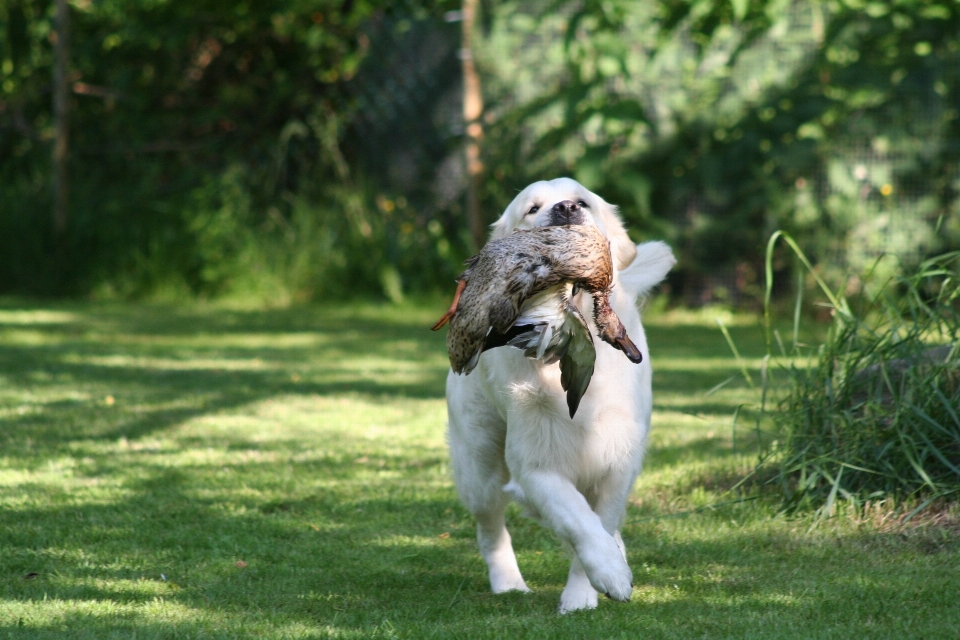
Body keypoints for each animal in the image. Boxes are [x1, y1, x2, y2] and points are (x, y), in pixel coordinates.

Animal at [444, 178, 676, 612]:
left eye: (583, 201)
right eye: (532, 209)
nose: (566, 209)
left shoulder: (619, 459)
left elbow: (599, 520)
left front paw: (585, 591)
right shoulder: (535, 464)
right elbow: (577, 520)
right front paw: (607, 575)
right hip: (479, 462)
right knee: (490, 526)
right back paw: (508, 582)